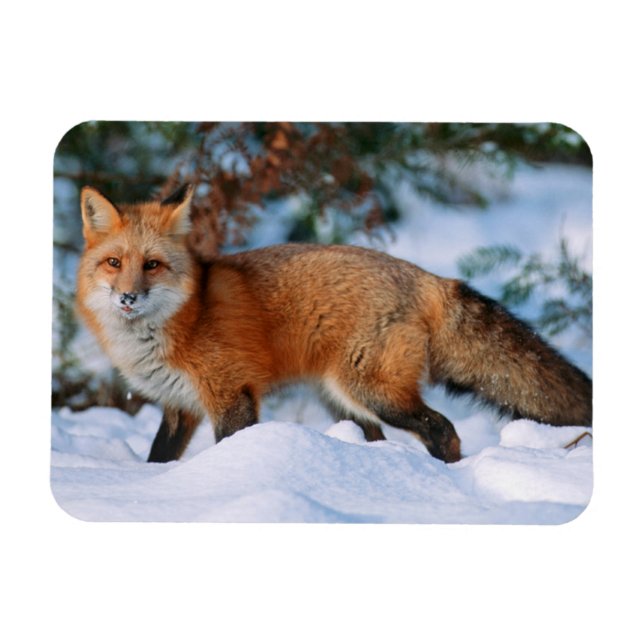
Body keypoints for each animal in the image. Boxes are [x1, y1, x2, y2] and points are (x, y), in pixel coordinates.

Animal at [76, 183, 592, 464]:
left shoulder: (231, 395)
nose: (127, 297)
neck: (182, 319)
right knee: (381, 438)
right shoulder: (179, 407)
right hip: (343, 401)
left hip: (373, 392)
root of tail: (425, 276)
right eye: (114, 263)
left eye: (153, 265)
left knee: (443, 429)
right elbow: (156, 457)